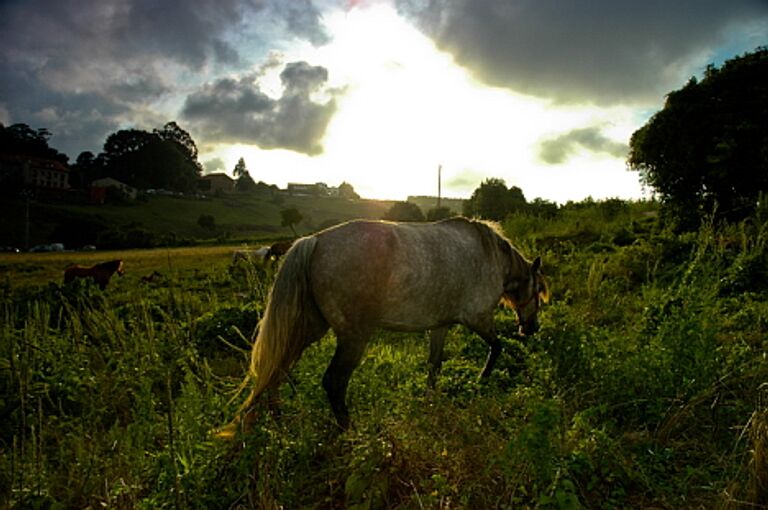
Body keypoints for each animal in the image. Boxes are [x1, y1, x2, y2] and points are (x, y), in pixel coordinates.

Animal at [224, 216, 552, 434]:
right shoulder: (478, 318)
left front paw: (430, 402)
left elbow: (434, 366)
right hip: (353, 337)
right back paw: (349, 431)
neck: (489, 255)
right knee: (332, 381)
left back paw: (279, 424)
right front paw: (480, 382)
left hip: (308, 329)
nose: (531, 328)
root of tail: (314, 241)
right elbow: (496, 348)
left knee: (276, 369)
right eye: (538, 290)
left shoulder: (441, 325)